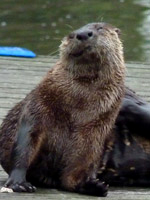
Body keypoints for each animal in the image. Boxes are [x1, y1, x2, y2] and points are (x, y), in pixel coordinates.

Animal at [0, 22, 125, 196]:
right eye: (72, 34)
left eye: (99, 28)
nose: (83, 34)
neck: (79, 107)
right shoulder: (38, 108)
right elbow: (24, 146)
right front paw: (18, 183)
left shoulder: (96, 132)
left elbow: (82, 164)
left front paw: (91, 185)